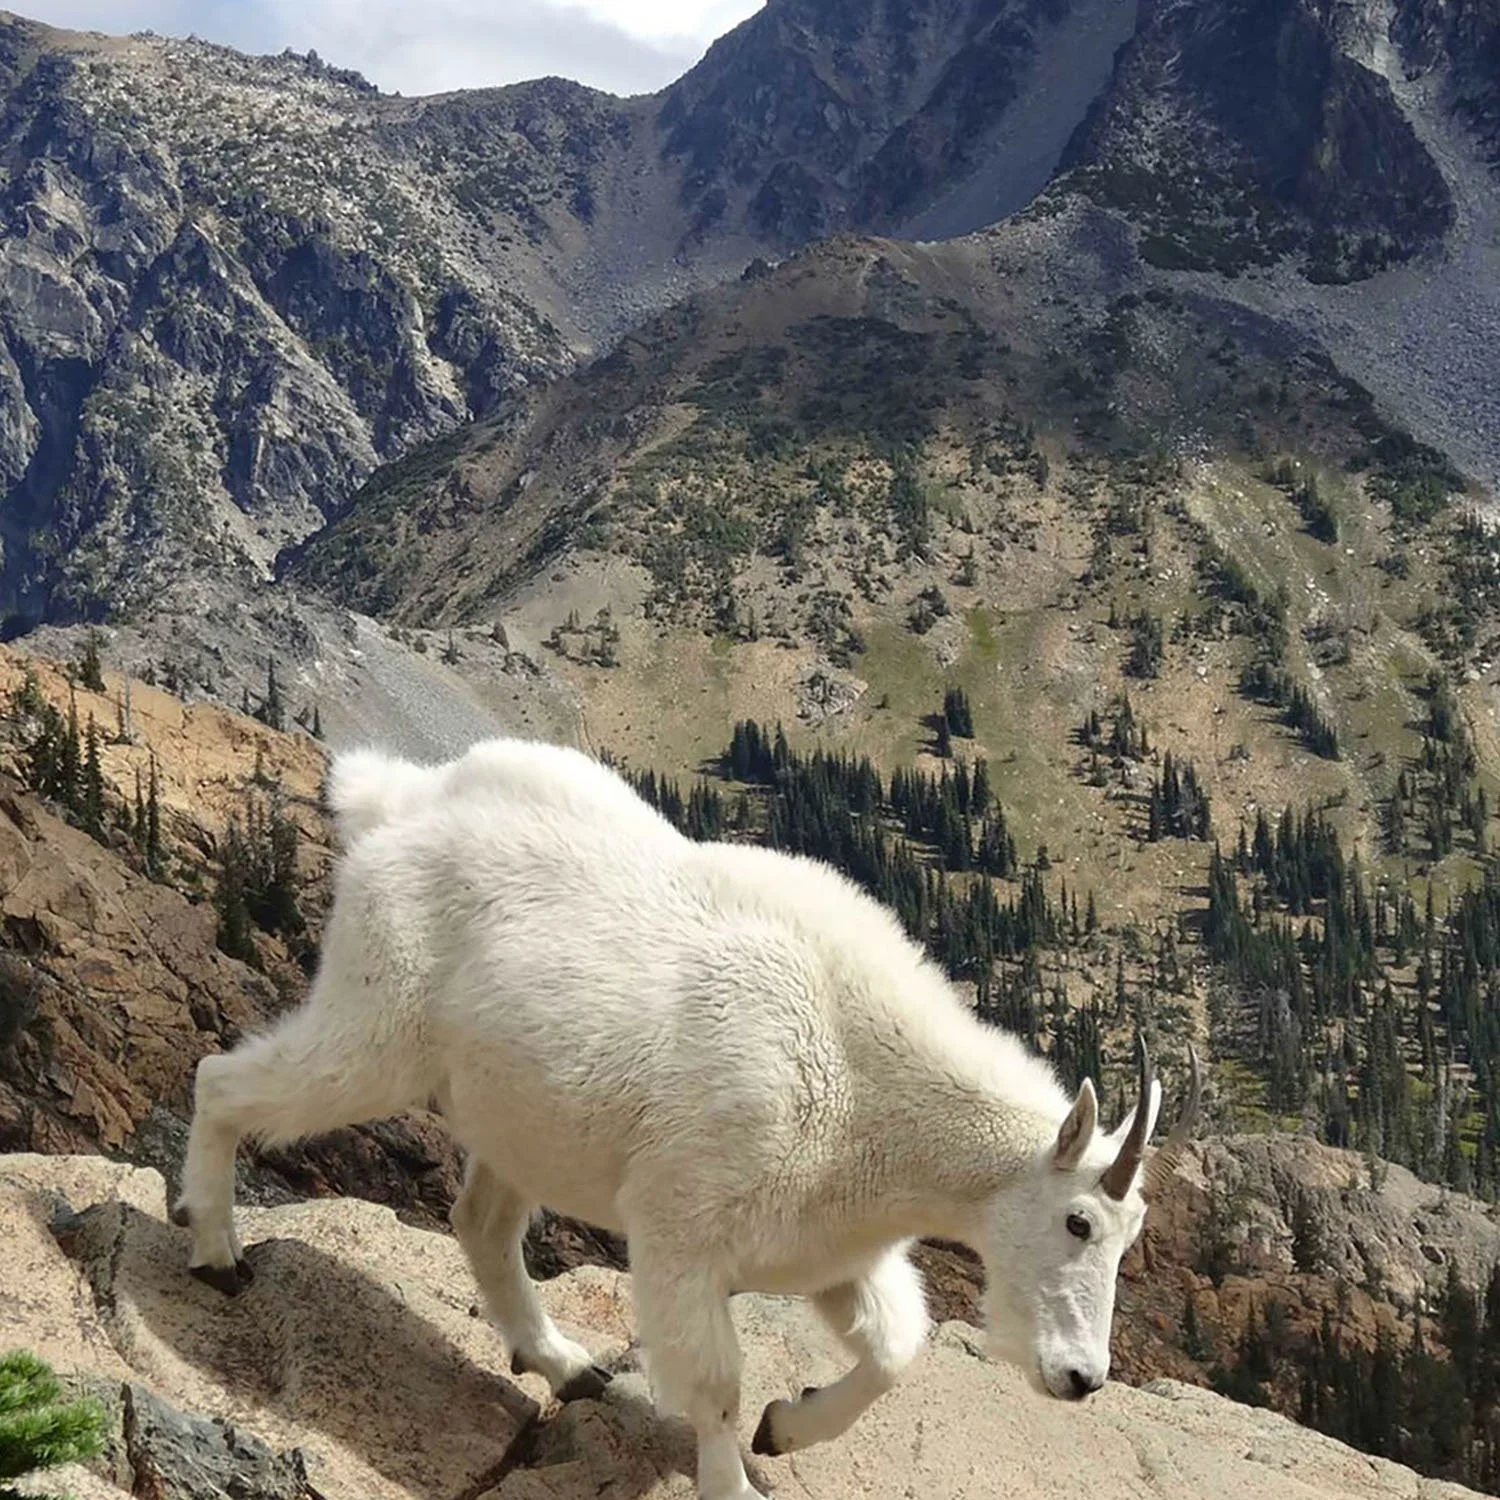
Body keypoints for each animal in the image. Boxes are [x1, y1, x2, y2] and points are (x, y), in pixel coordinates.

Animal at [175, 738, 1201, 1500]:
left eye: (1132, 1235)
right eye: (1078, 1221)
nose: (1082, 1378)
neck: (866, 1085)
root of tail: (396, 806)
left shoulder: (832, 1249)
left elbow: (896, 1350)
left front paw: (787, 1427)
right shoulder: (685, 1228)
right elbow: (714, 1384)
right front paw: (736, 1476)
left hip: (515, 1115)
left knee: (482, 1223)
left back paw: (562, 1362)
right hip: (376, 1022)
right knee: (225, 1079)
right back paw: (216, 1249)